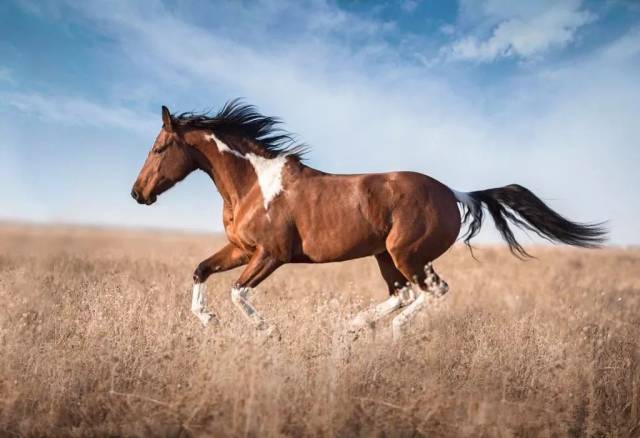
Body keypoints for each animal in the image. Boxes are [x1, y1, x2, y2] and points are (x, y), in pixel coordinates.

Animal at [131, 100, 604, 338]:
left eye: (158, 148)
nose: (138, 194)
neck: (253, 184)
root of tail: (454, 193)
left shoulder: (271, 254)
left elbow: (237, 292)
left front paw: (268, 331)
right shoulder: (241, 249)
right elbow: (200, 270)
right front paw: (207, 320)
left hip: (407, 254)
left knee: (431, 291)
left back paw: (390, 332)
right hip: (385, 256)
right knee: (404, 293)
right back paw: (354, 326)